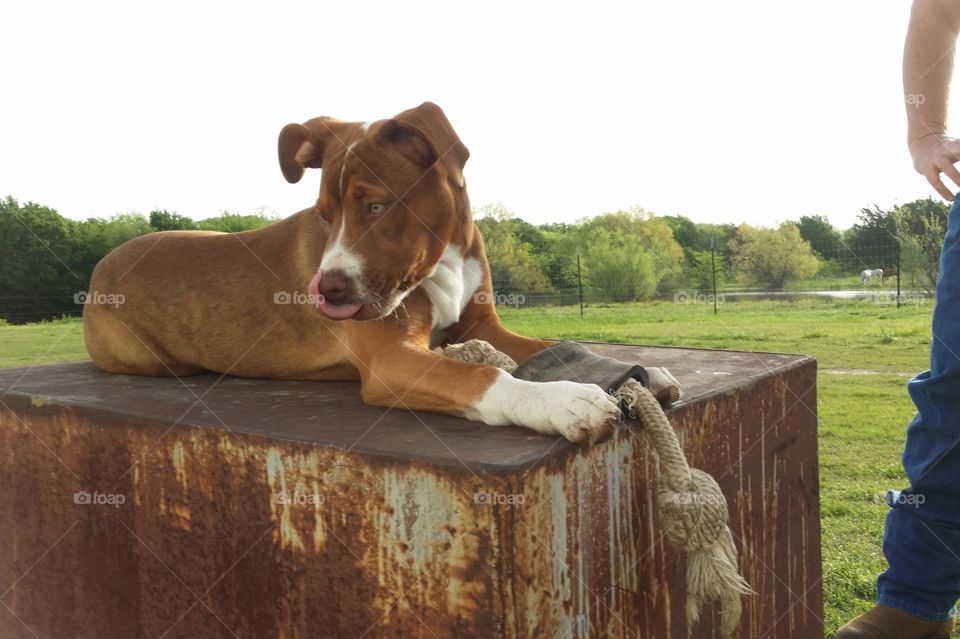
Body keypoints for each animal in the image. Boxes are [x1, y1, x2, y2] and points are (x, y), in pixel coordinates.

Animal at [86, 105, 680, 444]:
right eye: (324, 215)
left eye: (375, 206)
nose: (324, 294)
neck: (442, 260)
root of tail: (103, 264)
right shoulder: (390, 358)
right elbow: (480, 376)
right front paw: (560, 401)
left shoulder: (482, 327)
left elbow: (546, 345)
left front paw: (640, 372)